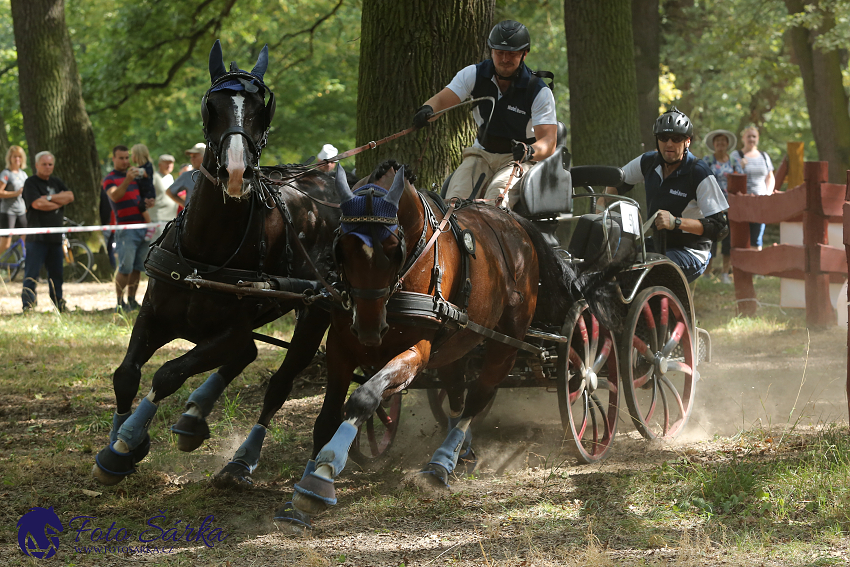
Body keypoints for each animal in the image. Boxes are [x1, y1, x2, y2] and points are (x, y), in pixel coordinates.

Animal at [92, 41, 342, 488]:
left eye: (262, 108)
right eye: (212, 104)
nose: (236, 171)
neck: (204, 257)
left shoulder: (228, 331)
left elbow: (168, 374)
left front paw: (127, 442)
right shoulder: (153, 314)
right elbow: (126, 374)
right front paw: (120, 447)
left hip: (317, 310)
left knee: (279, 381)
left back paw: (241, 459)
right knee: (248, 355)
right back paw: (194, 418)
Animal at [274, 164, 608, 528]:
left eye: (393, 248)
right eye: (341, 247)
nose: (369, 328)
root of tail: (515, 222)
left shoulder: (417, 351)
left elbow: (365, 397)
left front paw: (321, 479)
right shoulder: (340, 346)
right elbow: (326, 419)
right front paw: (306, 486)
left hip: (508, 340)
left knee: (479, 396)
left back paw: (441, 463)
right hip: (457, 344)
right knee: (458, 395)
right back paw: (461, 451)